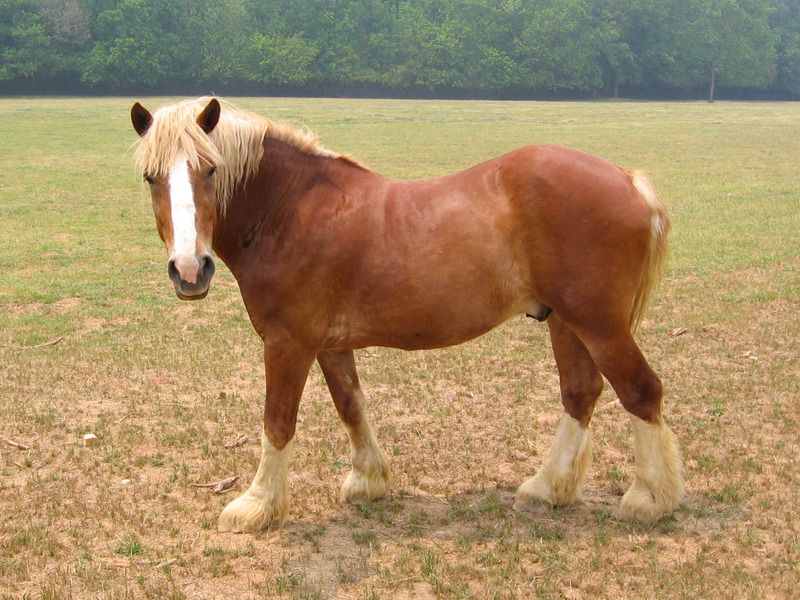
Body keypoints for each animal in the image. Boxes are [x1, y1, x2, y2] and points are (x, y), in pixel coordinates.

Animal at [130, 97, 683, 533]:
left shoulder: (287, 344)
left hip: (599, 324)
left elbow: (278, 422)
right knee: (580, 393)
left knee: (641, 391)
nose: (189, 270)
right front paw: (368, 480)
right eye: (150, 176)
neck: (289, 211)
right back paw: (546, 488)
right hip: (567, 322)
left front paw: (256, 506)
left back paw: (647, 499)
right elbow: (351, 405)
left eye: (210, 169)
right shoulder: (330, 344)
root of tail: (628, 180)